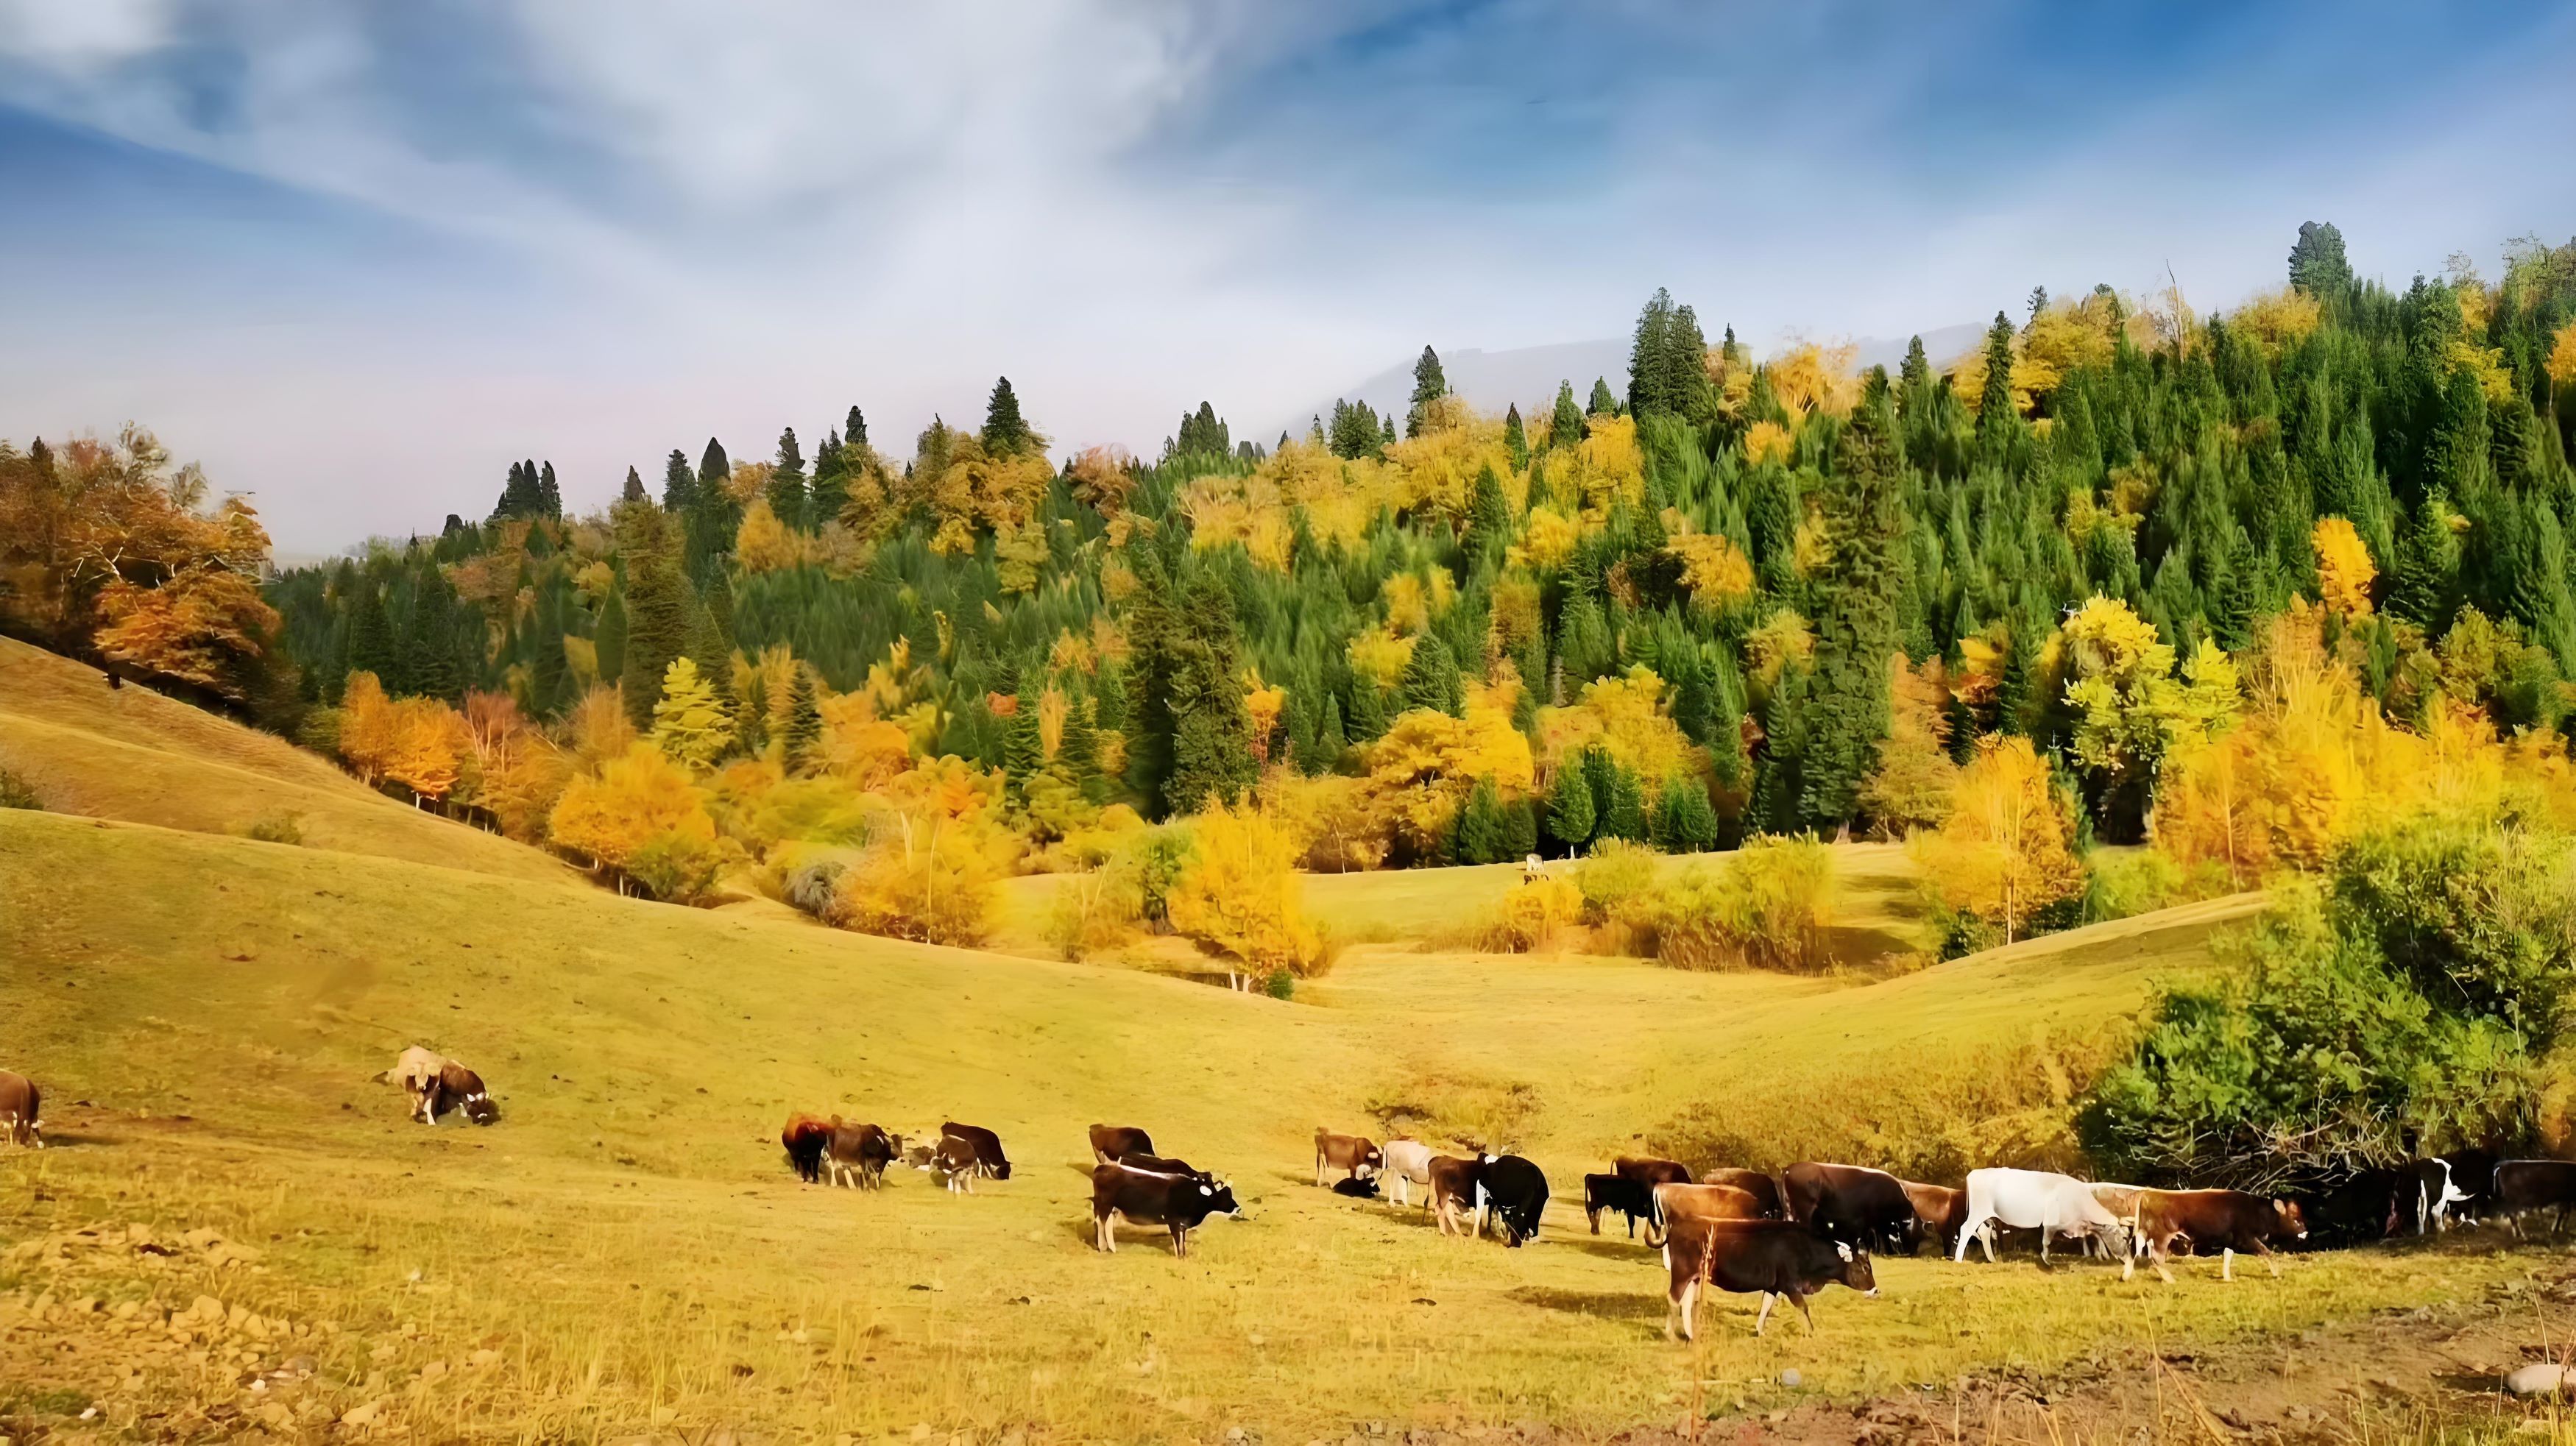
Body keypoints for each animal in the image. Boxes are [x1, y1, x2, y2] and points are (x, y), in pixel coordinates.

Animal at [1092, 1160, 1242, 1252]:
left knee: (1107, 1224)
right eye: (1223, 1196)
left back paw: (1111, 1248)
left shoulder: (1182, 1225)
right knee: (1101, 1223)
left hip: (1113, 1207)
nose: (1237, 1206)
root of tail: (1103, 1167)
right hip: (1105, 1204)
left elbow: (1180, 1242)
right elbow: (1178, 1242)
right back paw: (1103, 1247)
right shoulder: (1174, 1221)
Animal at [1659, 1216, 1886, 1340]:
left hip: (1695, 1277)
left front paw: (1760, 1331)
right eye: (1864, 1267)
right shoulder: (1790, 1284)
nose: (1876, 1290)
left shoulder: (1774, 1286)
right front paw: (1811, 1331)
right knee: (1673, 1299)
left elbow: (1766, 1306)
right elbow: (1803, 1307)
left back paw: (1690, 1334)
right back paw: (1671, 1335)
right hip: (1681, 1273)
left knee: (1686, 1303)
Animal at [1783, 1160, 1927, 1252]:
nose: (1911, 1253)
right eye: (1913, 1234)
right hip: (1804, 1207)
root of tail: (1789, 1169)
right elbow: (1880, 1235)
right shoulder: (1873, 1220)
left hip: (1790, 1208)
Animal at [1947, 1160, 2133, 1263]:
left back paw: (1991, 1259)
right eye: (2124, 1238)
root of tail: (1975, 1173)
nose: (2126, 1257)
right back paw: (1958, 1259)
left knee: (1983, 1232)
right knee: (1967, 1230)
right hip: (1978, 1211)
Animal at [2112, 1191, 2318, 1278]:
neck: (2256, 1210)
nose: (2306, 1232)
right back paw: (2170, 1280)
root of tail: (2149, 1194)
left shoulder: (2232, 1241)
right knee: (2156, 1257)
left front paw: (2227, 1277)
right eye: (2296, 1220)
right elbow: (2267, 1253)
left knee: (2133, 1249)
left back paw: (2126, 1276)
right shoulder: (2247, 1238)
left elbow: (2227, 1256)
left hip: (2143, 1231)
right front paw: (2276, 1274)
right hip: (2161, 1235)